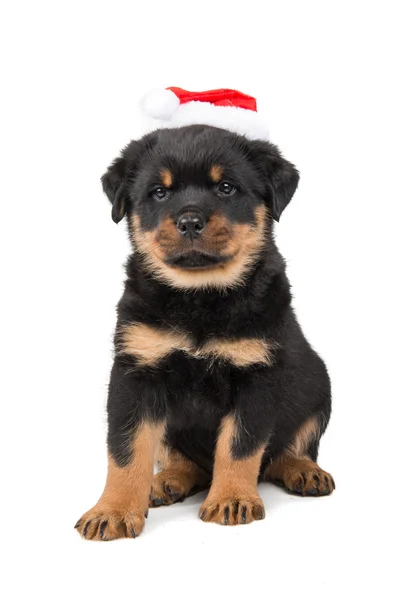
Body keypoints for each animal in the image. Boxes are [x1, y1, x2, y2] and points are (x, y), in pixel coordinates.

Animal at [75, 124, 334, 540]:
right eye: (159, 192)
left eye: (226, 188)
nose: (190, 221)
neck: (200, 297)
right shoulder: (137, 372)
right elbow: (127, 449)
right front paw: (112, 510)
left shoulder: (257, 372)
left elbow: (240, 446)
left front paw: (231, 499)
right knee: (182, 459)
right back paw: (167, 480)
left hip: (318, 385)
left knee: (286, 451)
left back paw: (304, 470)